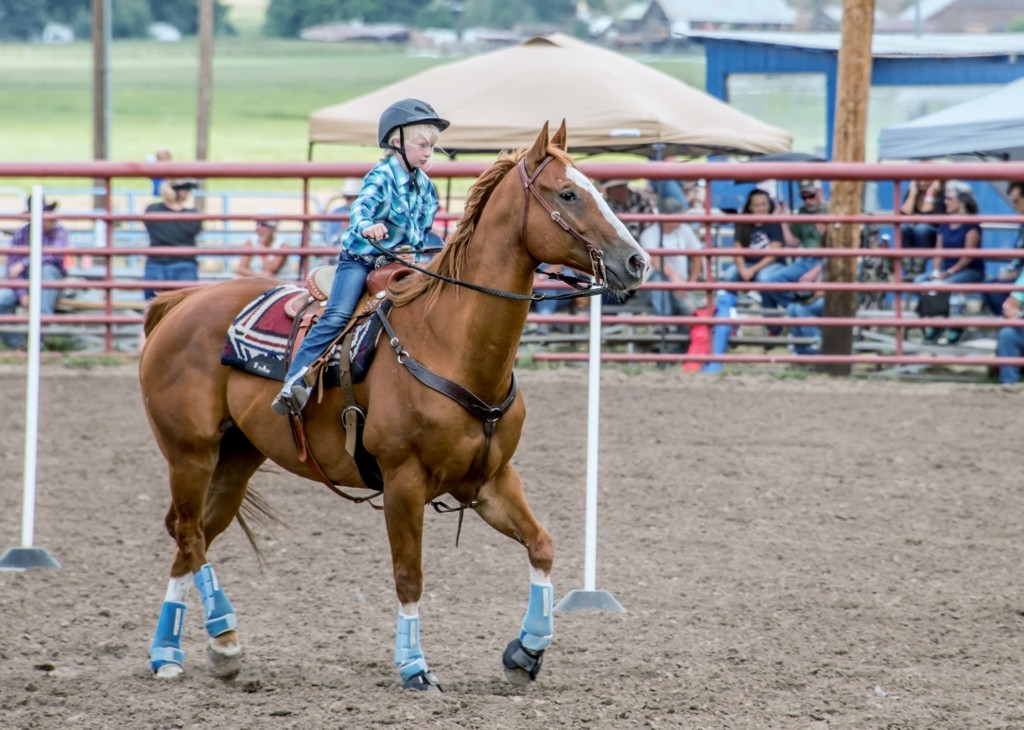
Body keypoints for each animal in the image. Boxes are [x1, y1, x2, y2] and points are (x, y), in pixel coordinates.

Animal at [138, 121, 649, 690]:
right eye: (567, 194)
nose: (637, 262)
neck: (448, 342)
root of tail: (180, 304)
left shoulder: (491, 480)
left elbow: (542, 545)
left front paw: (527, 650)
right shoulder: (404, 482)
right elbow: (410, 575)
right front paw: (414, 665)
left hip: (237, 456)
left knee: (194, 536)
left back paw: (188, 648)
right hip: (189, 452)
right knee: (188, 534)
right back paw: (208, 642)